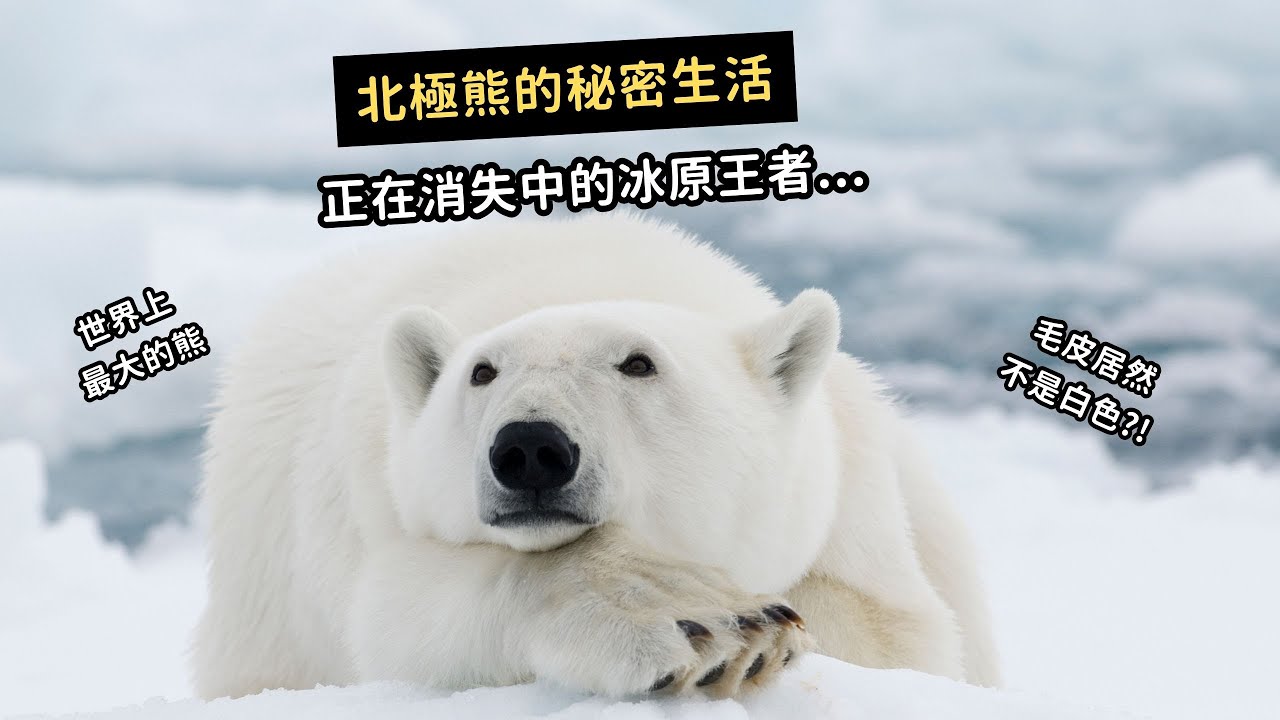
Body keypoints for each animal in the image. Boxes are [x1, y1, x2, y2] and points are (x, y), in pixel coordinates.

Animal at [191, 212, 1000, 700]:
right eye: (482, 371)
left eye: (638, 363)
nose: (530, 448)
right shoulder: (369, 499)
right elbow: (401, 609)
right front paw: (707, 622)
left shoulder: (849, 497)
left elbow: (897, 631)